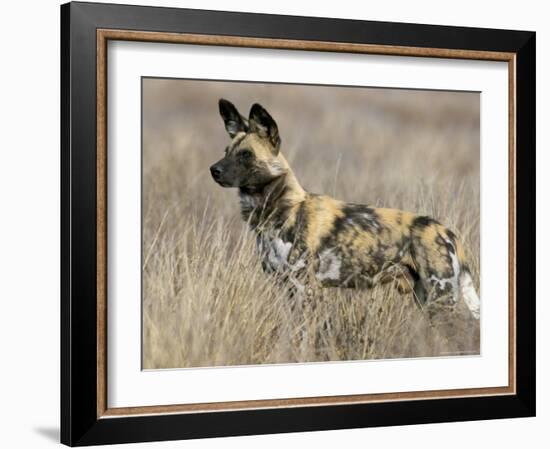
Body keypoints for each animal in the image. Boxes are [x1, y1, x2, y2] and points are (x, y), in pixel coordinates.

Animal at [211, 98, 484, 318]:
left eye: (246, 155)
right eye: (226, 151)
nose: (214, 170)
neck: (279, 211)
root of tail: (446, 231)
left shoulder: (305, 289)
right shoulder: (285, 287)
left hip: (441, 301)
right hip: (426, 301)